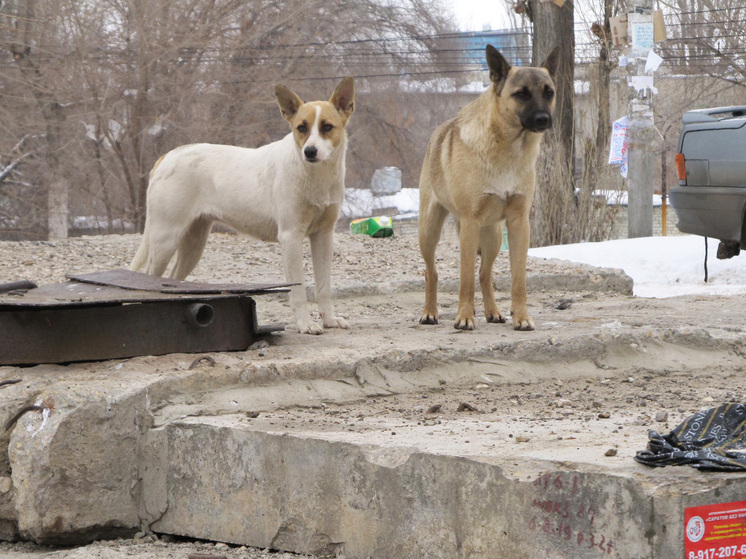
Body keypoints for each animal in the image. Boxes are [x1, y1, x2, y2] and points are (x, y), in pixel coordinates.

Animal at [131, 77, 354, 334]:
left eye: (327, 127)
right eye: (301, 128)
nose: (310, 151)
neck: (315, 175)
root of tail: (168, 156)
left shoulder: (324, 237)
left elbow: (324, 287)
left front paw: (329, 320)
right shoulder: (291, 237)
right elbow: (298, 291)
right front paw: (305, 324)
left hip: (193, 244)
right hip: (165, 239)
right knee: (150, 278)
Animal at [416, 47, 556, 332]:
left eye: (549, 92)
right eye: (521, 94)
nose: (544, 119)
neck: (507, 148)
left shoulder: (518, 224)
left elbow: (518, 280)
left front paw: (521, 317)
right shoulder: (470, 224)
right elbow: (465, 279)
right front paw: (464, 317)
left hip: (492, 237)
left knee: (484, 273)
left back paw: (493, 312)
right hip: (429, 231)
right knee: (432, 272)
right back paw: (430, 312)